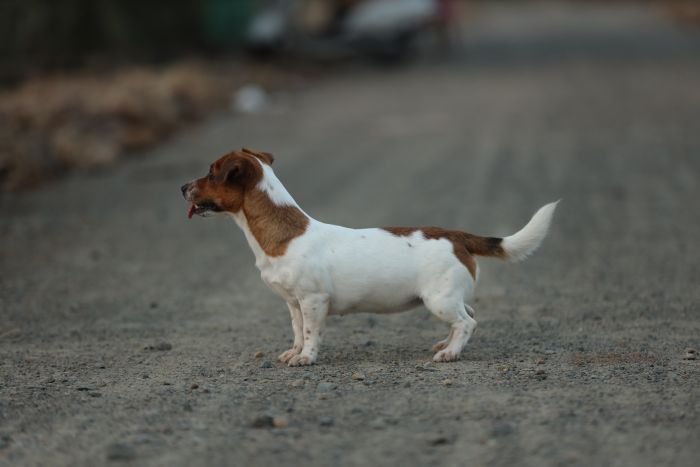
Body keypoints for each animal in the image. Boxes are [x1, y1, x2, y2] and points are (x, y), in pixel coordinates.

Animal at [180, 148, 556, 368]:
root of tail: (456, 236)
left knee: (468, 322)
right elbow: (298, 331)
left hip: (439, 300)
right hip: (448, 297)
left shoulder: (313, 301)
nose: (182, 187)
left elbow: (312, 334)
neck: (282, 231)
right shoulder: (293, 304)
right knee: (468, 315)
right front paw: (295, 351)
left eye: (211, 173)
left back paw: (450, 353)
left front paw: (306, 358)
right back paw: (446, 343)